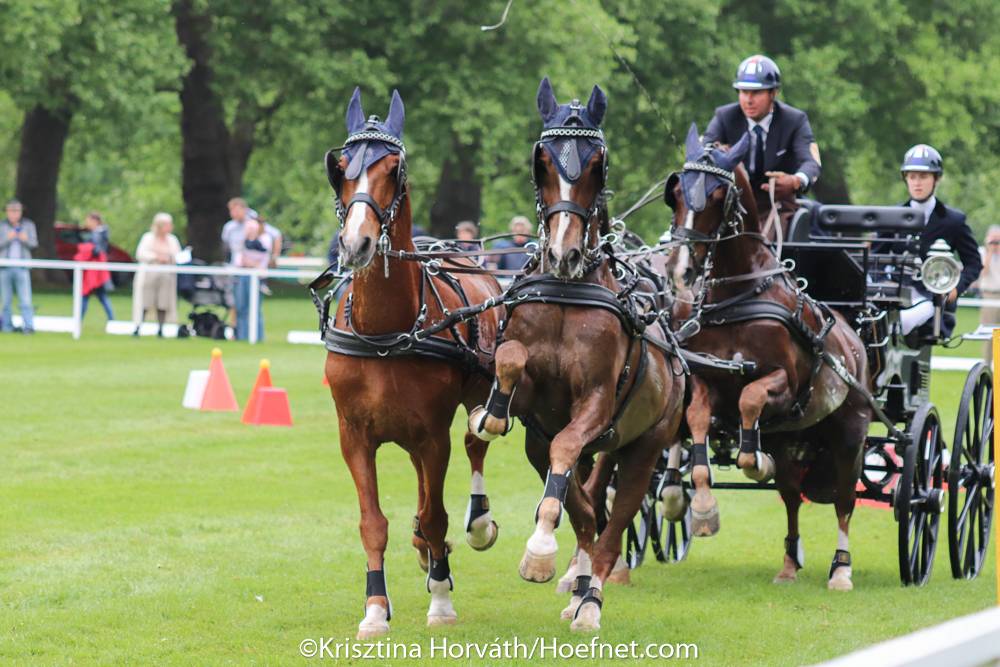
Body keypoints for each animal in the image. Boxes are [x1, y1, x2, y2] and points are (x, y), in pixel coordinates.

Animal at [320, 88, 503, 638]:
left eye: (394, 169)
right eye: (340, 168)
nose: (356, 242)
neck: (384, 331)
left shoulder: (431, 433)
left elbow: (438, 510)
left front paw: (441, 600)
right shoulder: (354, 436)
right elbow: (372, 522)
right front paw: (375, 607)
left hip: (470, 399)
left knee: (474, 443)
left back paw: (474, 525)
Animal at [470, 78, 686, 631]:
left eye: (597, 164)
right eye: (542, 160)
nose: (564, 253)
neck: (570, 291)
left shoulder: (595, 403)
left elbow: (570, 457)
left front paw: (540, 553)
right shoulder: (535, 411)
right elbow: (511, 359)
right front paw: (490, 414)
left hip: (644, 447)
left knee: (613, 523)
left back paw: (591, 600)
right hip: (556, 444)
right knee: (588, 508)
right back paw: (579, 584)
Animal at [660, 124, 871, 590]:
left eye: (718, 195)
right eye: (676, 192)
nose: (680, 270)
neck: (738, 297)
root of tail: (856, 340)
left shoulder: (784, 385)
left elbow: (750, 399)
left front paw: (752, 459)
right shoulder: (706, 379)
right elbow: (698, 422)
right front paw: (702, 507)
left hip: (850, 431)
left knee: (844, 499)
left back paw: (842, 569)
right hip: (794, 437)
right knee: (791, 495)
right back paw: (790, 562)